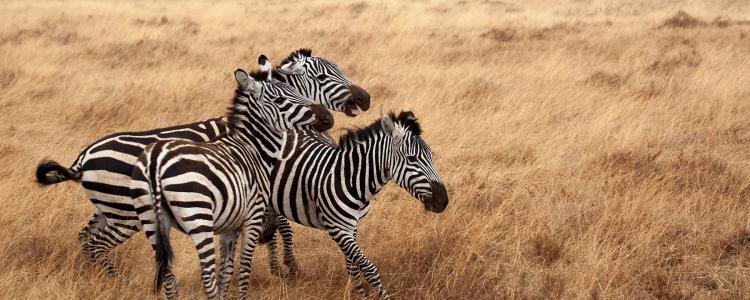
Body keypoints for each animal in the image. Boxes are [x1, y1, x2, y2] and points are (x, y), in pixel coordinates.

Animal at [35, 48, 370, 276]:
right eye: (322, 77)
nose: (365, 99)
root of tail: (83, 157)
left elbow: (271, 226)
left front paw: (275, 265)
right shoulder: (276, 181)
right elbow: (283, 227)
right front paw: (288, 267)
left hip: (109, 208)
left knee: (84, 237)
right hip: (124, 213)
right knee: (95, 242)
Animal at [131, 68, 334, 300]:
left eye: (295, 90)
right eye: (279, 100)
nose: (328, 118)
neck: (254, 150)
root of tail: (155, 158)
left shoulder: (230, 225)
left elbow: (226, 271)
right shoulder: (252, 217)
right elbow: (244, 269)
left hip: (150, 219)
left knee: (169, 277)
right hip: (198, 216)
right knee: (207, 277)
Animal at [268, 110, 450, 298]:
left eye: (430, 155)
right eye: (411, 159)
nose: (443, 201)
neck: (350, 179)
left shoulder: (352, 226)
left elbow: (353, 265)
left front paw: (360, 293)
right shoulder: (338, 228)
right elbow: (369, 268)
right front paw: (381, 296)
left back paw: (279, 267)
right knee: (280, 226)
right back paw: (286, 266)